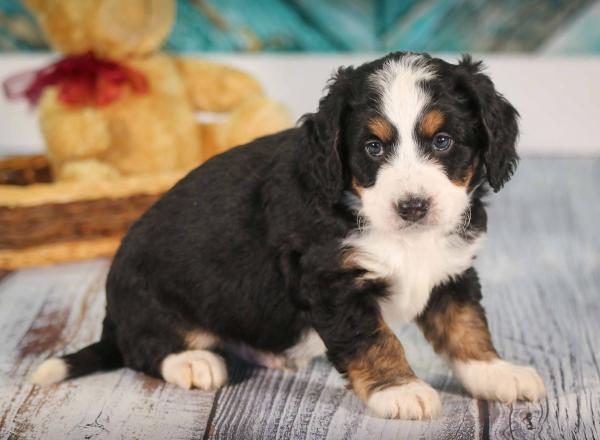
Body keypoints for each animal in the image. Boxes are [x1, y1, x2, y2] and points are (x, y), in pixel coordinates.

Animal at [32, 53, 548, 422]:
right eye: (372, 147)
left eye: (443, 141)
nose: (413, 206)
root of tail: (112, 316)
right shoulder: (331, 280)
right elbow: (374, 339)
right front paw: (400, 389)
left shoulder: (450, 270)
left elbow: (466, 327)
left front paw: (497, 373)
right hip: (148, 299)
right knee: (142, 349)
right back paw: (192, 362)